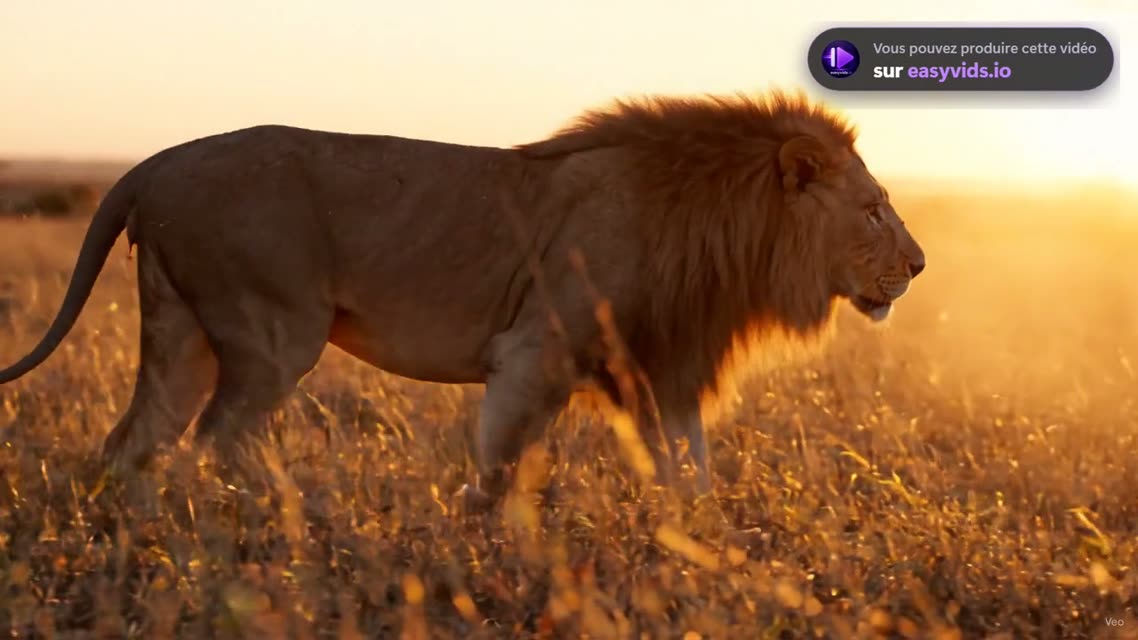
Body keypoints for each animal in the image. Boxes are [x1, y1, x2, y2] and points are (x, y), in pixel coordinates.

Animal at [0, 90, 924, 506]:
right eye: (874, 209)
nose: (918, 268)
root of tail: (152, 164)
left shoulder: (659, 370)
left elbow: (687, 472)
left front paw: (705, 548)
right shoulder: (536, 351)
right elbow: (502, 469)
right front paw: (492, 548)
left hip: (181, 334)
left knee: (134, 442)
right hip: (272, 333)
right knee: (219, 440)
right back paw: (276, 521)